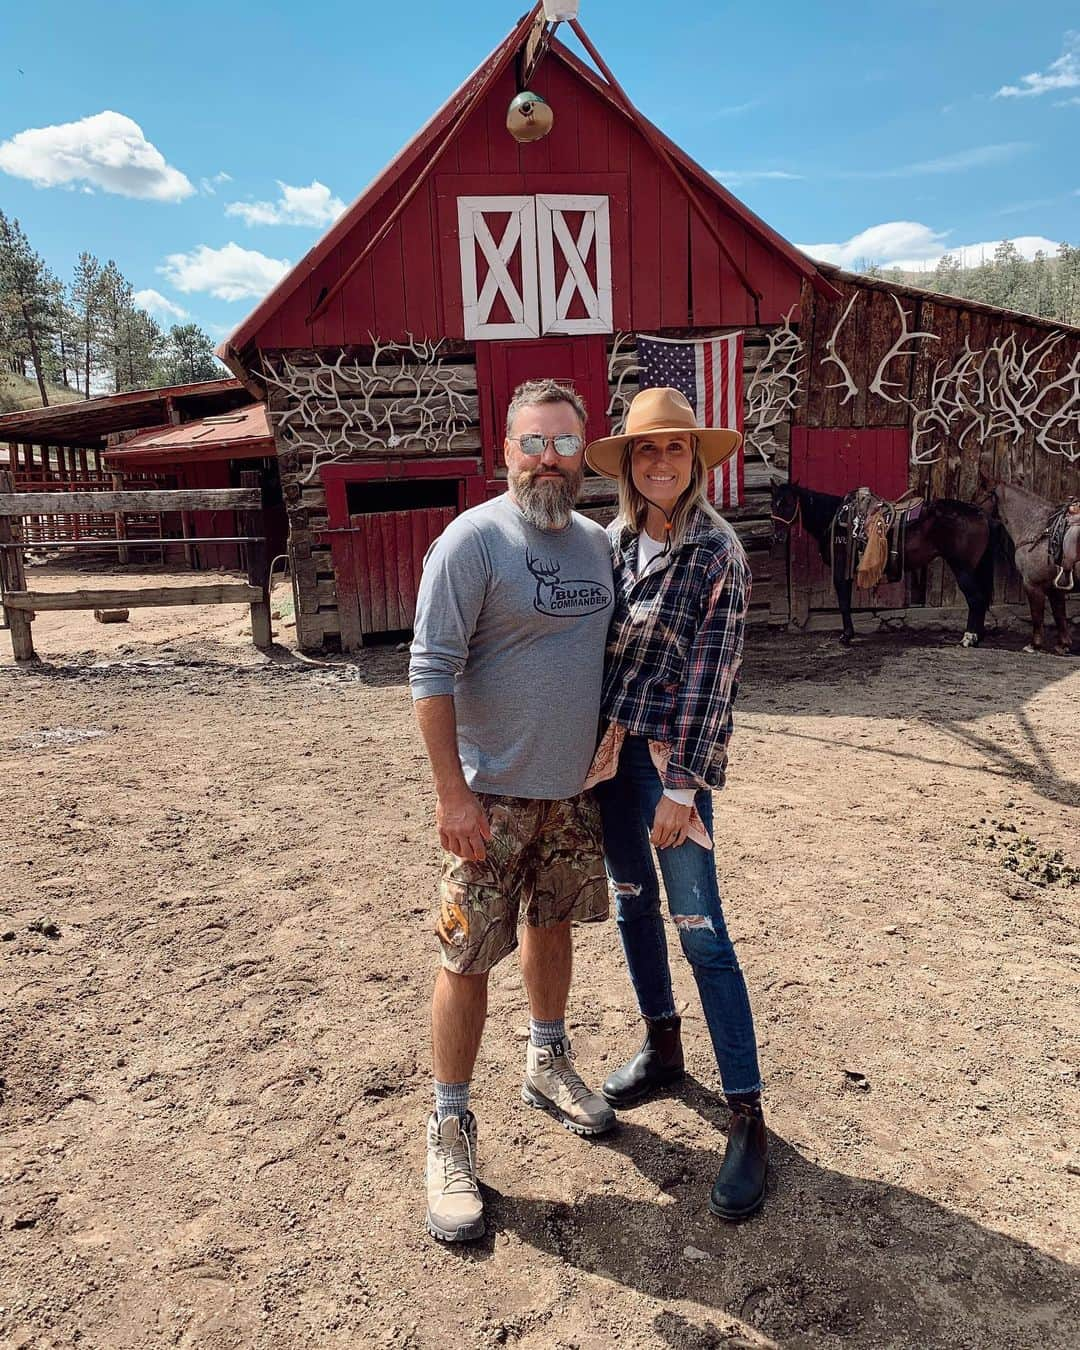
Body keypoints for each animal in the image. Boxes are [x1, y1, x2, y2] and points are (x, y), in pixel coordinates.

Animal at [772, 483, 993, 650]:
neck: (834, 519)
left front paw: (846, 636)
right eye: (773, 505)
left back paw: (968, 638)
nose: (777, 537)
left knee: (975, 599)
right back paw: (978, 636)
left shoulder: (841, 568)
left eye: (788, 503)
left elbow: (843, 602)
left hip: (963, 568)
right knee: (981, 599)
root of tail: (980, 513)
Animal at [982, 480, 1074, 658]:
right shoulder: (1055, 588)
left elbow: (1037, 616)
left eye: (980, 494)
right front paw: (1063, 645)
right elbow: (1059, 615)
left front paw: (1034, 645)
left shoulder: (1033, 585)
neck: (1038, 529)